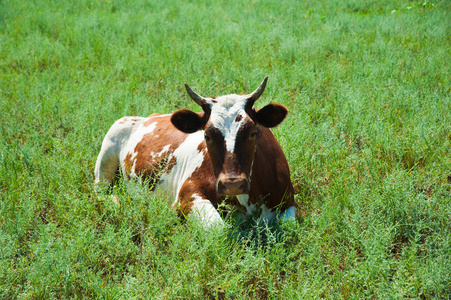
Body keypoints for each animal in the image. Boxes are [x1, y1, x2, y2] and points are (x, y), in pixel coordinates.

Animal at [94, 76, 298, 226]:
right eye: (207, 135)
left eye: (253, 132)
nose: (232, 184)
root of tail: (148, 116)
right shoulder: (186, 196)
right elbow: (217, 227)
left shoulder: (289, 201)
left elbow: (288, 224)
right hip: (108, 149)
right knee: (100, 191)